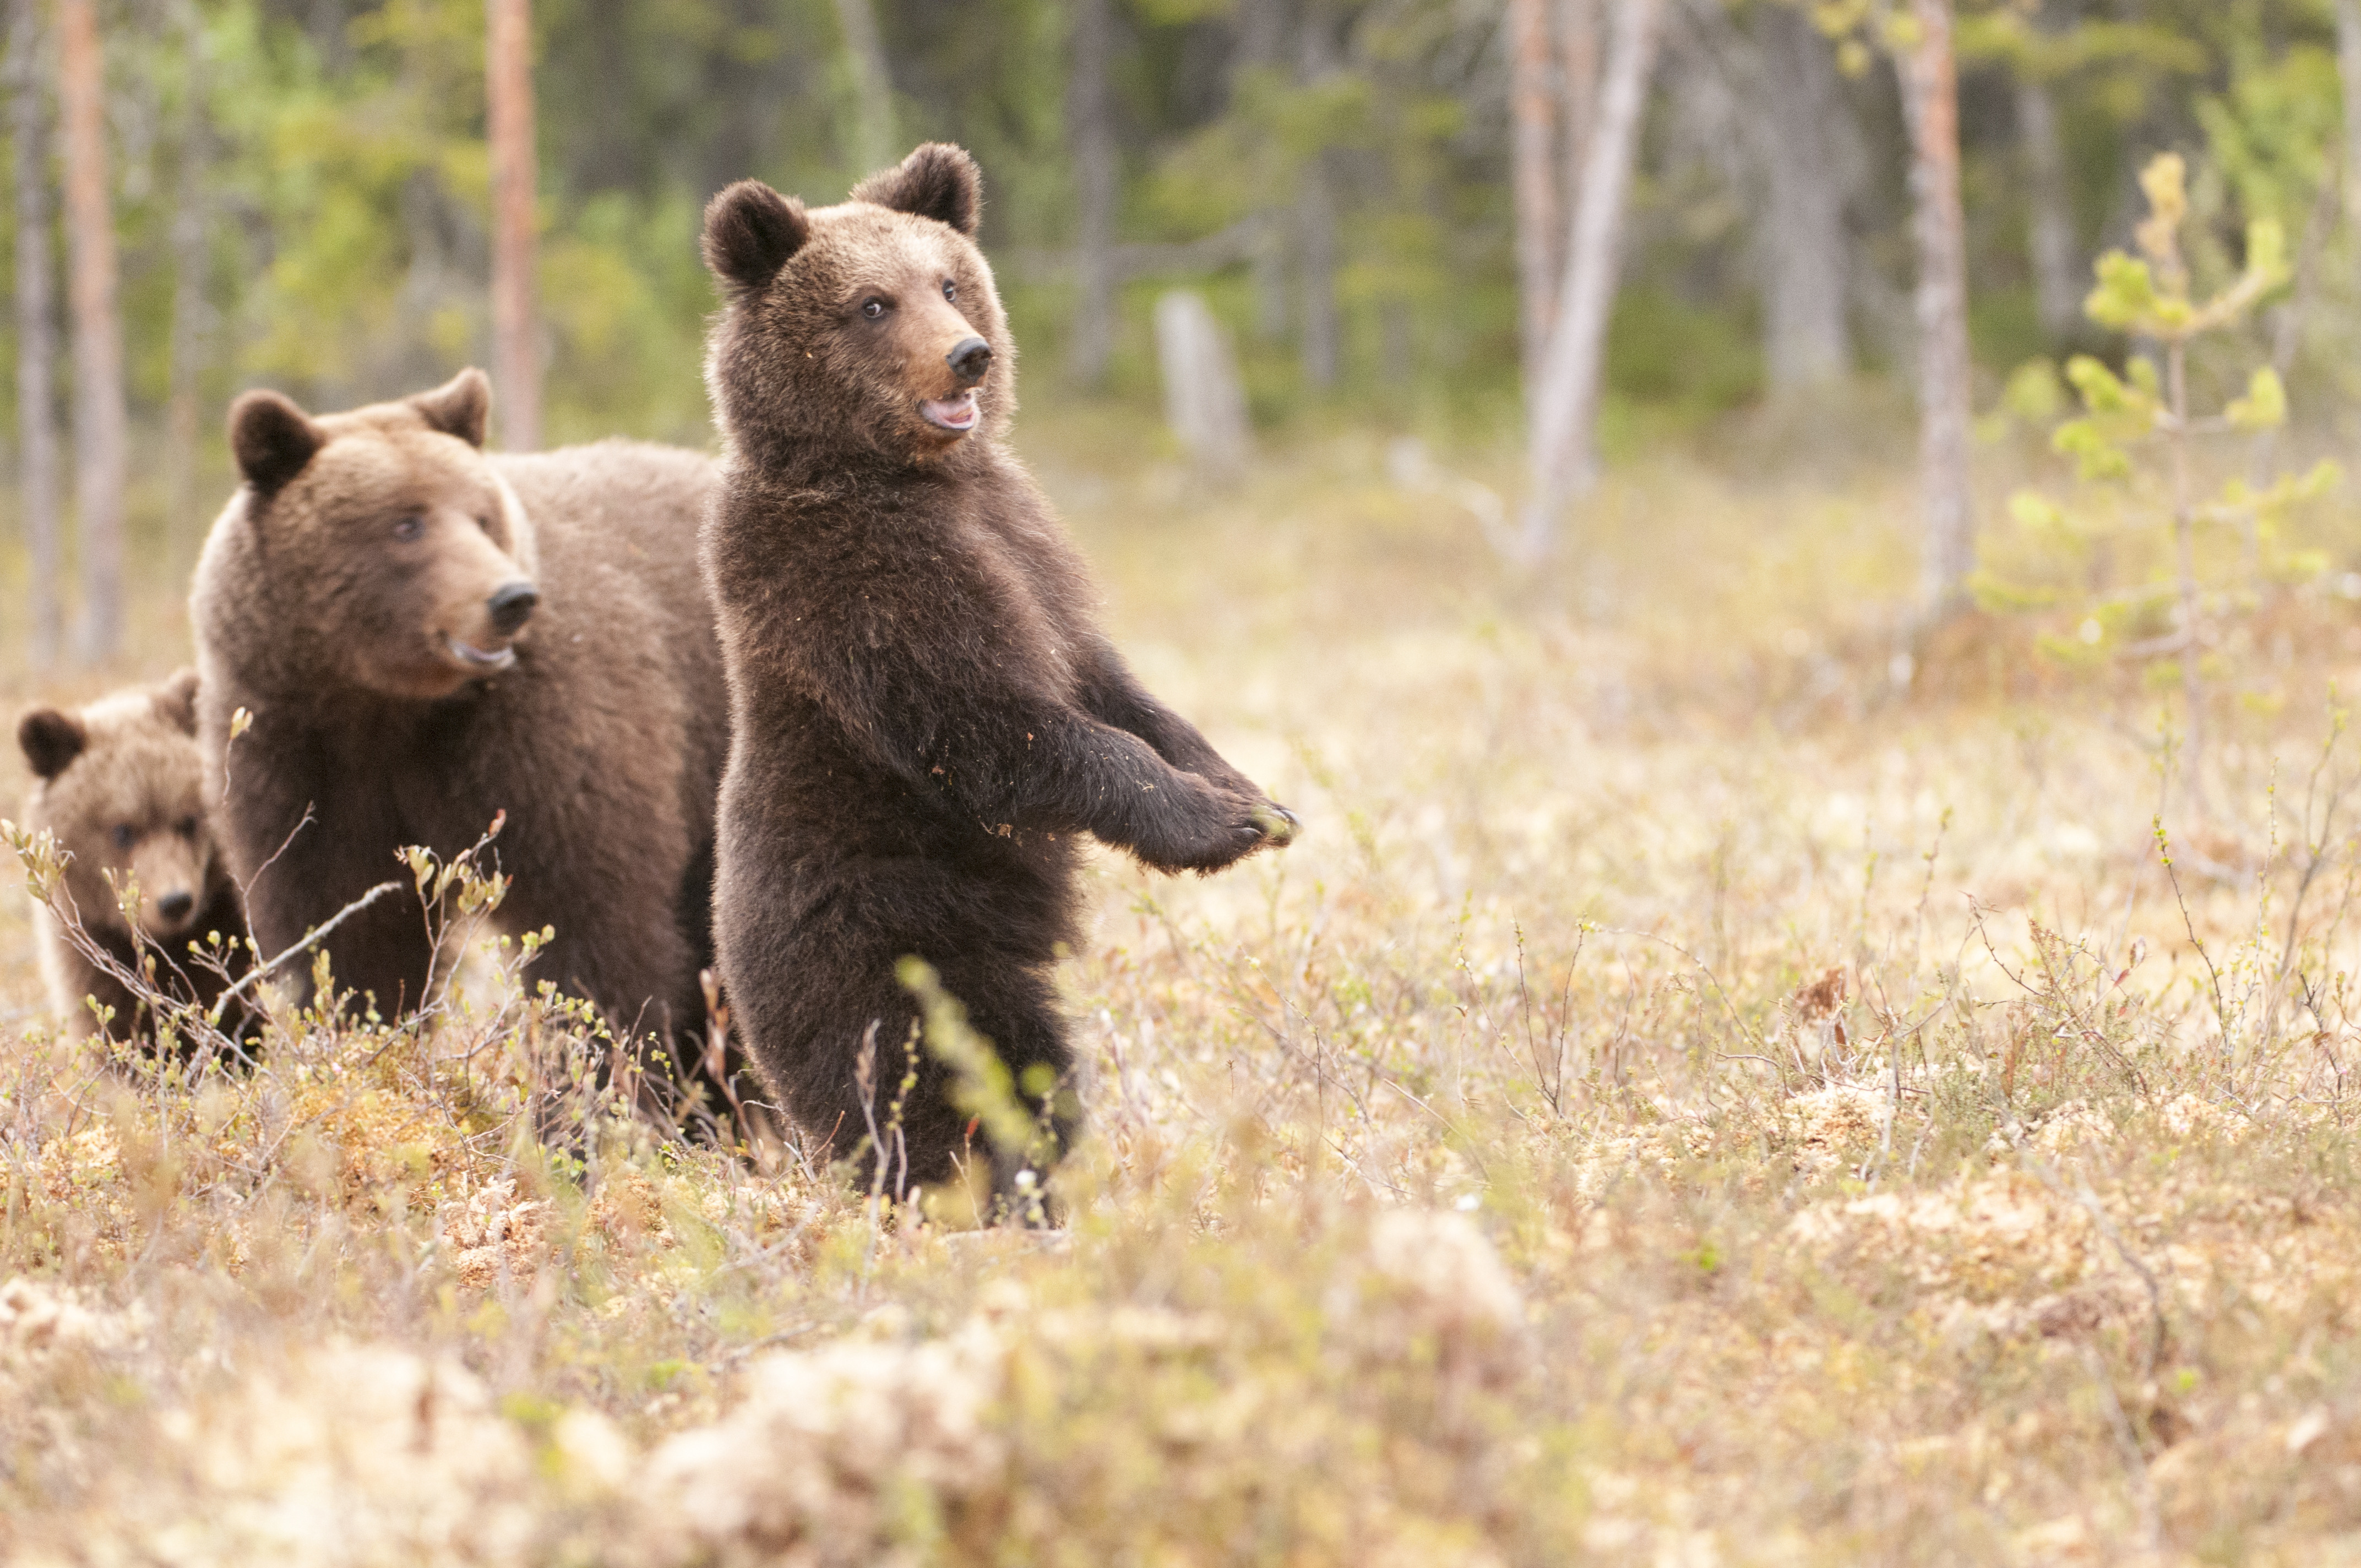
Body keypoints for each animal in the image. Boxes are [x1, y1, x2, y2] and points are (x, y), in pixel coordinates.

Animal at [191, 373, 727, 1072]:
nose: (510, 599)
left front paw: (593, 1077)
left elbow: (593, 925)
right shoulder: (297, 752)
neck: (386, 704)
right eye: (407, 522)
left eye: (480, 515)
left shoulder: (541, 737)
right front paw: (372, 1043)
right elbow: (354, 931)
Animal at [689, 150, 1303, 1199]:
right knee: (953, 1081)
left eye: (948, 281)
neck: (906, 474)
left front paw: (1252, 798)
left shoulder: (1022, 543)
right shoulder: (853, 586)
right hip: (893, 943)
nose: (968, 354)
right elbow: (993, 721)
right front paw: (1208, 825)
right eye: (871, 303)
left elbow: (1103, 679)